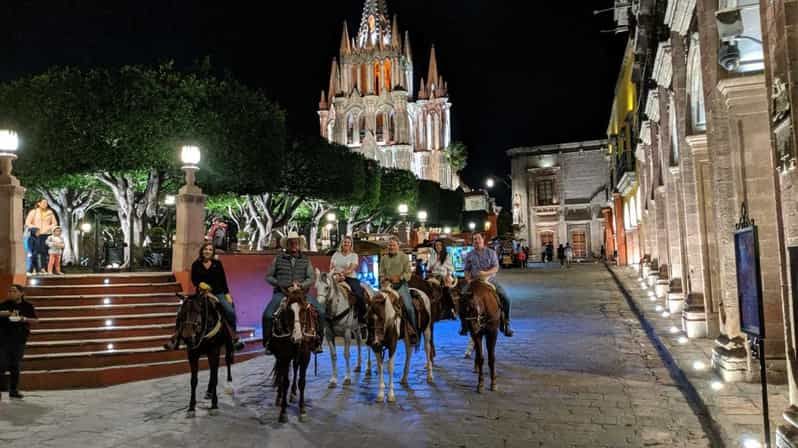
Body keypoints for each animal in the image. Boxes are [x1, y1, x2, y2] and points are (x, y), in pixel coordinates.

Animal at [173, 288, 233, 418]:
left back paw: (229, 385)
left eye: (197, 311)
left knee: (227, 361)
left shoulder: (214, 351)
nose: (187, 337)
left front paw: (214, 405)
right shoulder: (192, 354)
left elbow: (215, 378)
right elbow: (193, 381)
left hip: (228, 344)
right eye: (182, 313)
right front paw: (191, 407)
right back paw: (209, 392)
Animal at [268, 288, 318, 424]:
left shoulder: (305, 356)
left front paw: (302, 410)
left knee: (295, 368)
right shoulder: (284, 356)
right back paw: (280, 397)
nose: (298, 337)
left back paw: (293, 393)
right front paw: (283, 412)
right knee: (281, 375)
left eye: (303, 310)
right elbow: (285, 382)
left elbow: (302, 382)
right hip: (280, 357)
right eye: (288, 311)